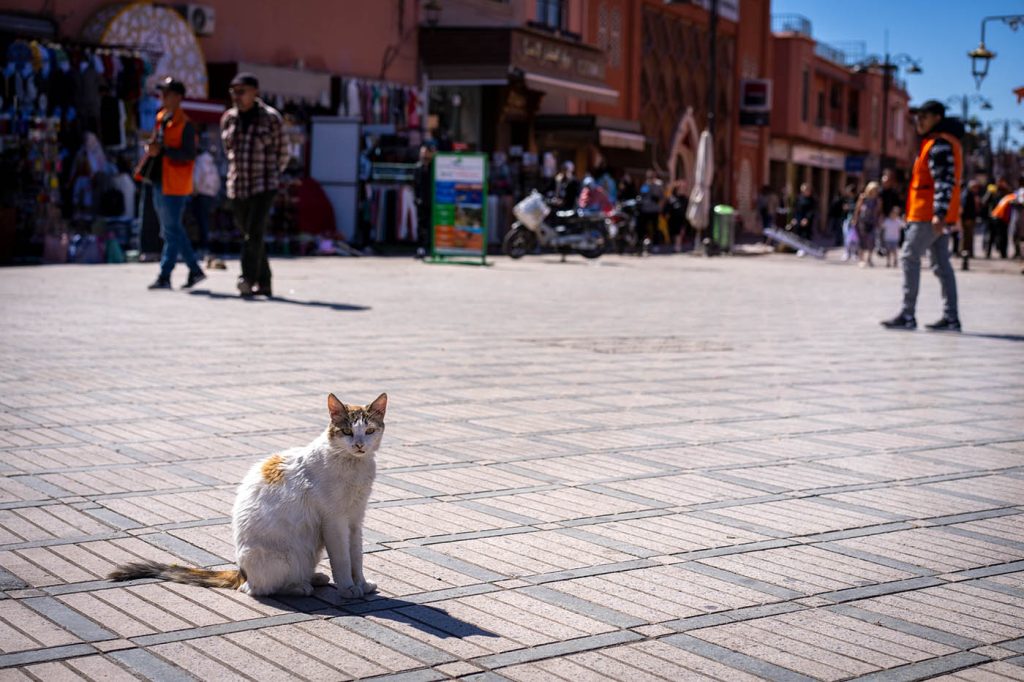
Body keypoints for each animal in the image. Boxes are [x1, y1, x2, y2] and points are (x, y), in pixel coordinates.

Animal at [108, 391, 385, 598]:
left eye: (369, 431)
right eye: (347, 432)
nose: (359, 445)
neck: (354, 465)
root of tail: (241, 572)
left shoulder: (355, 520)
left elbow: (356, 557)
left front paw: (361, 584)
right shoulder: (334, 522)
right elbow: (342, 560)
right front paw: (348, 588)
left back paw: (314, 577)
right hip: (288, 555)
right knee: (256, 590)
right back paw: (300, 586)